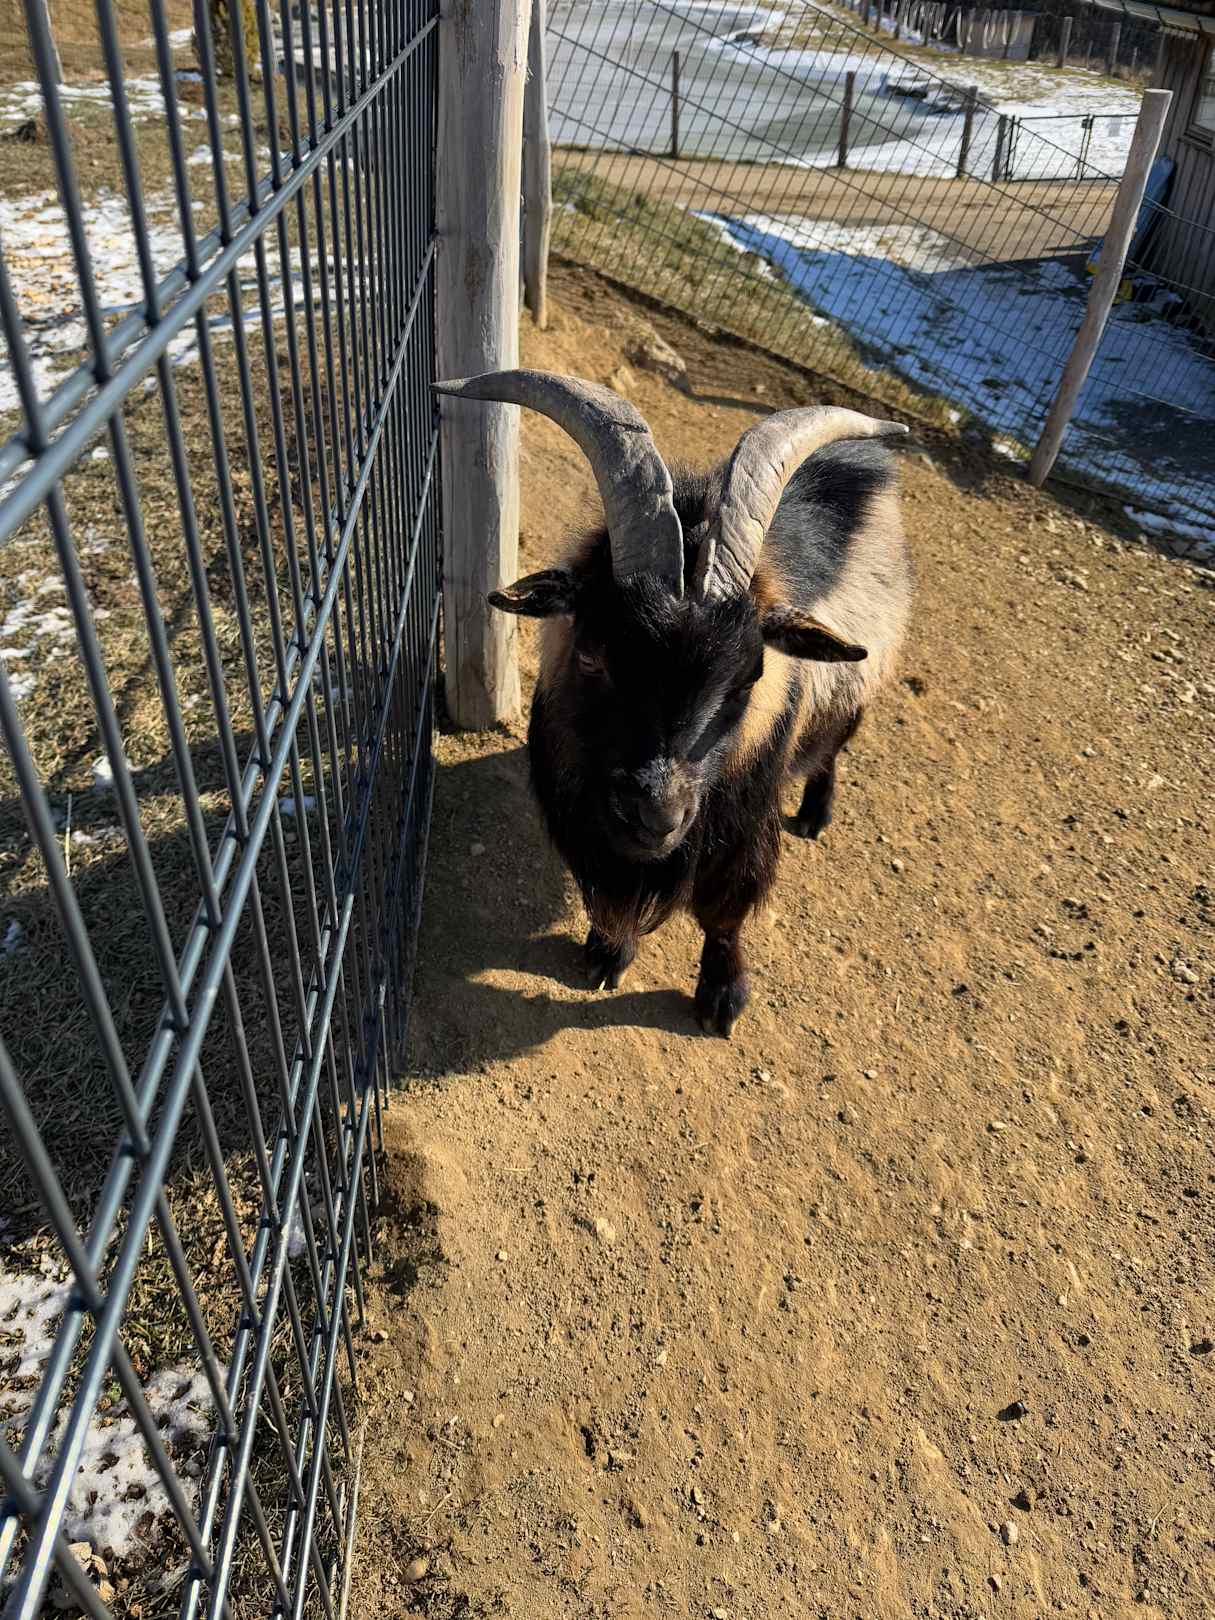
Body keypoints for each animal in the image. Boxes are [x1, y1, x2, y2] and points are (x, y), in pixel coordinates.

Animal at [435, 370, 911, 1036]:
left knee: (832, 751)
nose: (658, 815)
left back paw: (816, 815)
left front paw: (722, 996)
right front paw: (607, 954)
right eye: (593, 656)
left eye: (750, 677)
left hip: (858, 691)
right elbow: (610, 896)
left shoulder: (742, 815)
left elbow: (725, 909)